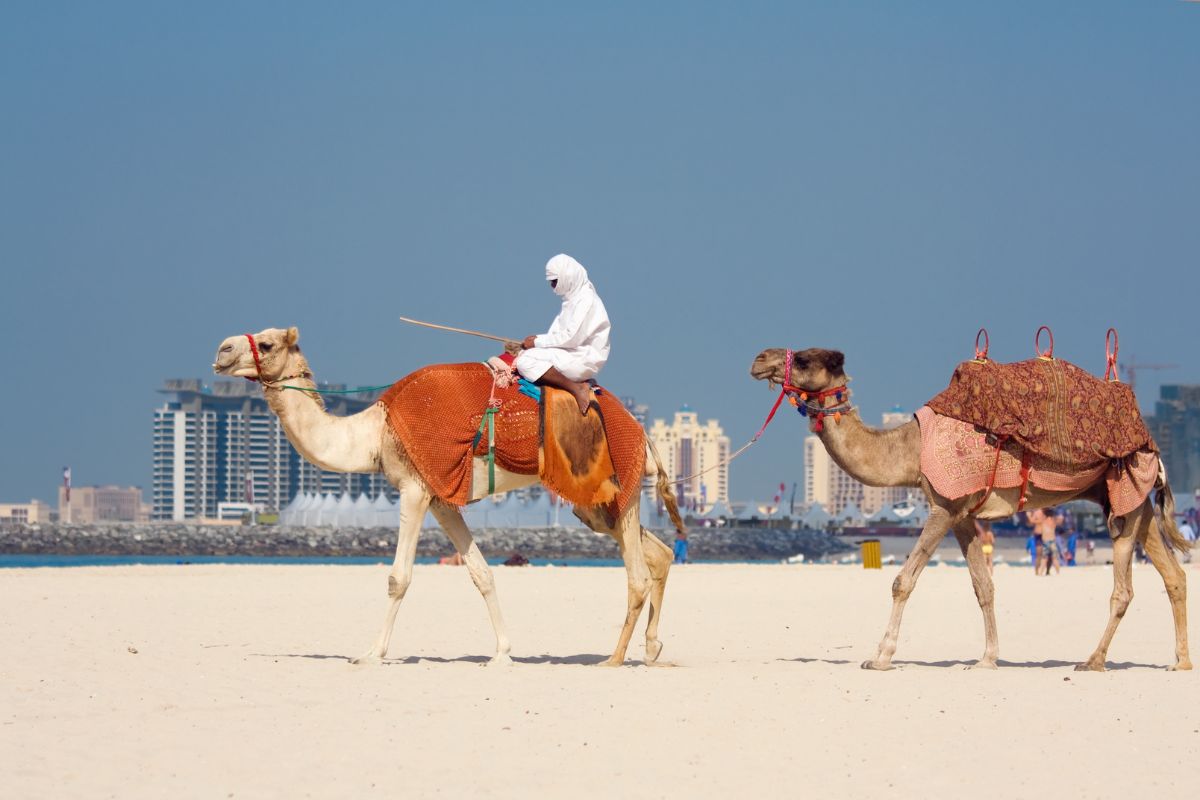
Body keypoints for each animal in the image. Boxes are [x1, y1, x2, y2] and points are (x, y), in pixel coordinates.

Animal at [213, 328, 686, 666]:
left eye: (268, 343)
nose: (221, 349)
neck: (375, 433)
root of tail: (644, 433)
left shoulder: (414, 488)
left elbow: (398, 578)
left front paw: (371, 654)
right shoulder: (442, 497)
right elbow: (481, 573)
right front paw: (502, 653)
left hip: (618, 484)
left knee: (637, 573)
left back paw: (614, 658)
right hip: (595, 503)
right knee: (659, 554)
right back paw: (652, 648)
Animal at [748, 347, 1190, 671]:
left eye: (804, 360)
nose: (759, 358)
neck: (910, 450)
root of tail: (1152, 443)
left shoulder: (944, 506)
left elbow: (903, 581)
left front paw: (881, 657)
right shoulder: (963, 516)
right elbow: (984, 586)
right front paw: (987, 659)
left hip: (1124, 493)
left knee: (1123, 588)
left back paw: (1093, 661)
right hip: (1135, 500)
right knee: (1174, 575)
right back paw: (1180, 662)